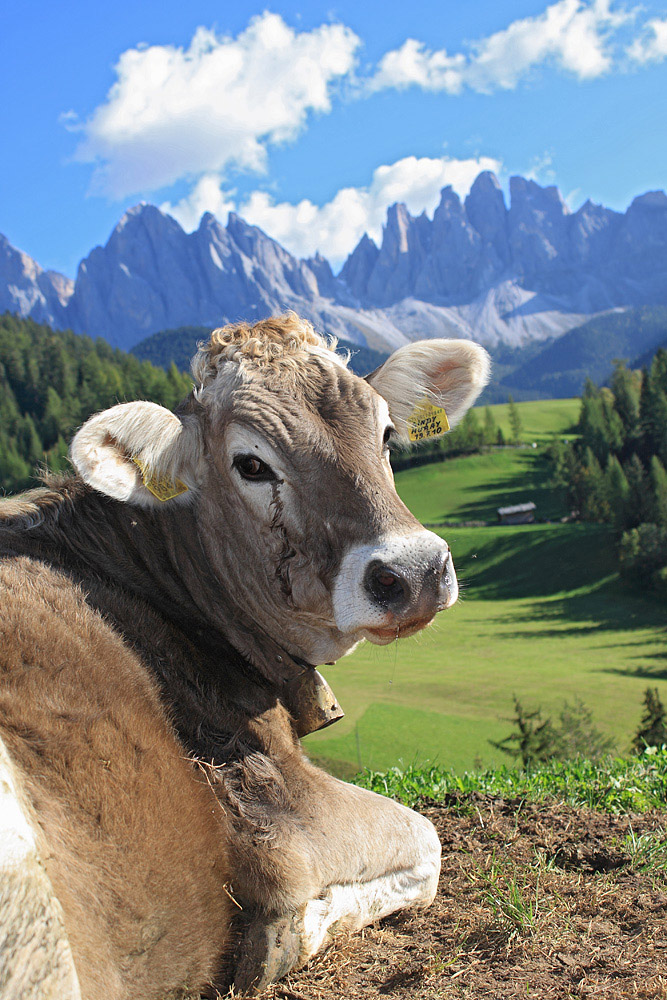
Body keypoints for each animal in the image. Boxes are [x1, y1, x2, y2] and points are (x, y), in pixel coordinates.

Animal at [0, 313, 490, 1000]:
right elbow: (428, 842)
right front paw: (281, 935)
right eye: (251, 464)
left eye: (387, 433)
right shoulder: (279, 815)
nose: (415, 572)